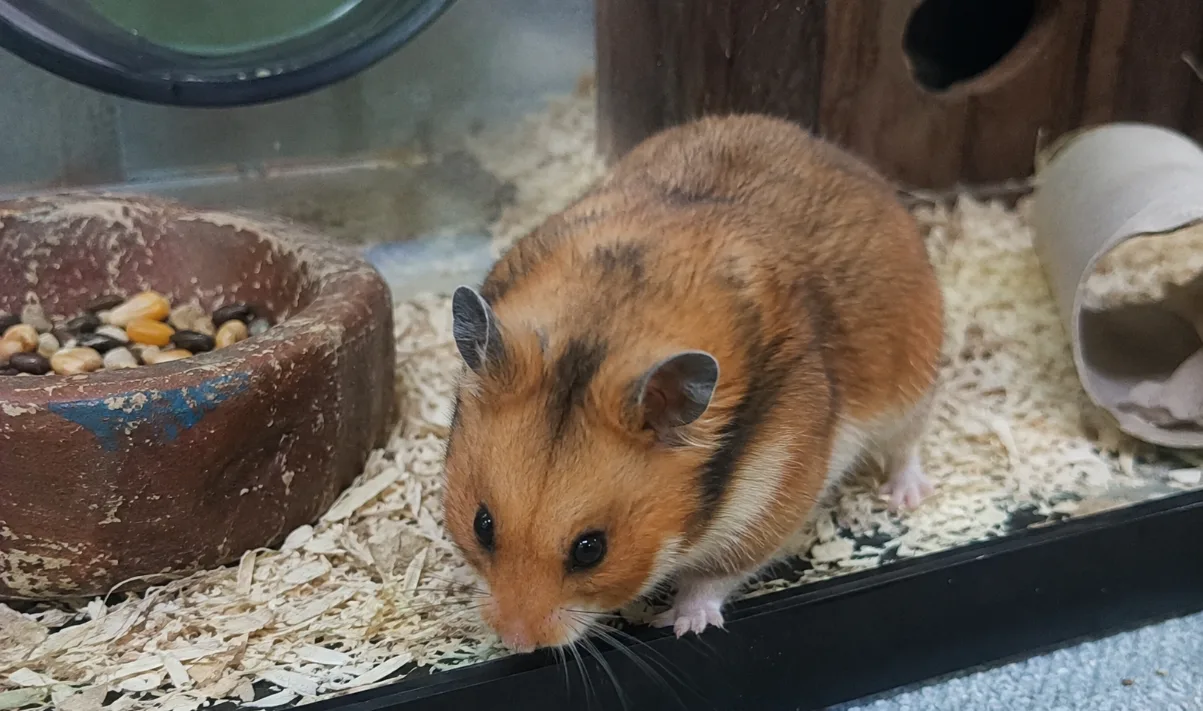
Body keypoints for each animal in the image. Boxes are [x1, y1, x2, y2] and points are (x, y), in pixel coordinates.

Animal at [441, 114, 944, 653]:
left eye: (590, 549)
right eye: (483, 524)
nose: (516, 642)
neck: (610, 325)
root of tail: (846, 159)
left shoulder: (770, 501)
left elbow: (714, 577)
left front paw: (683, 624)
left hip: (911, 388)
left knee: (907, 447)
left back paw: (906, 496)